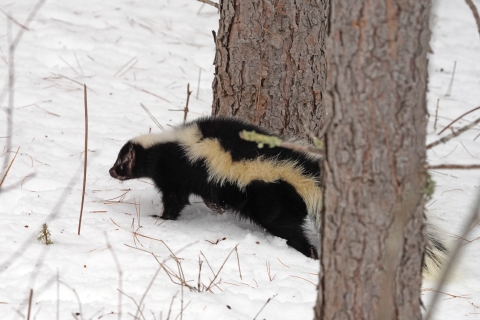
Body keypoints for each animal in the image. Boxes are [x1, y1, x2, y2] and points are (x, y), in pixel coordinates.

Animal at [110, 115, 448, 270]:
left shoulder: (181, 172)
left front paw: (162, 218)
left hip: (274, 202)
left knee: (290, 230)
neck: (168, 146)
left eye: (122, 161)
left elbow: (175, 200)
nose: (112, 172)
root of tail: (301, 175)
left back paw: (310, 254)